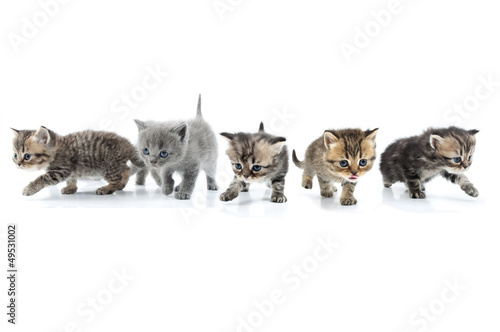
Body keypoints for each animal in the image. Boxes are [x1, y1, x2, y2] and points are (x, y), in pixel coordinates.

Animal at [11, 126, 145, 195]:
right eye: (15, 155)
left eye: (27, 156)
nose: (18, 164)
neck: (56, 149)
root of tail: (128, 145)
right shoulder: (70, 171)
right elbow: (71, 179)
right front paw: (71, 188)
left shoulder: (60, 170)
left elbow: (43, 178)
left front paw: (29, 189)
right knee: (126, 169)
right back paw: (122, 184)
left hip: (108, 166)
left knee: (117, 178)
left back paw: (108, 188)